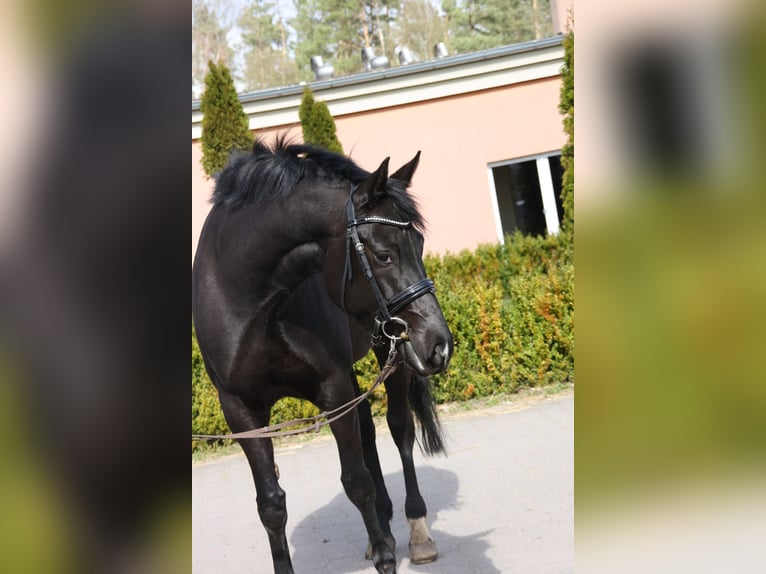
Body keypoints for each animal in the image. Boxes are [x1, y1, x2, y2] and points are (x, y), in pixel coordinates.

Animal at [195, 140, 452, 574]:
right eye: (383, 255)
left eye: (419, 245)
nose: (439, 345)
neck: (250, 298)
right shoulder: (240, 411)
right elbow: (271, 505)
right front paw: (379, 540)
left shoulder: (332, 390)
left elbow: (357, 482)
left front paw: (386, 557)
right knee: (368, 431)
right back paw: (383, 523)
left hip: (390, 352)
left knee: (399, 430)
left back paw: (416, 533)